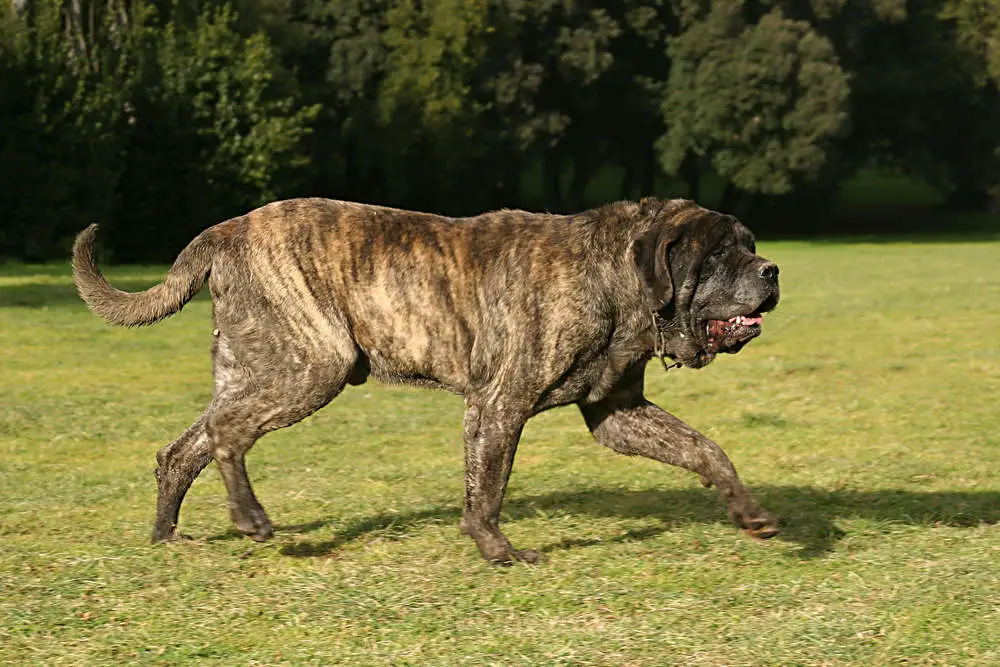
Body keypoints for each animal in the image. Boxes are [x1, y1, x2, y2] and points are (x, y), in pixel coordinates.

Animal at [74, 196, 784, 568]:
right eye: (718, 254)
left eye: (748, 244)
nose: (772, 269)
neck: (614, 276)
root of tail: (222, 231)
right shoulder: (501, 403)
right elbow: (489, 486)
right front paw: (498, 549)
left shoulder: (616, 411)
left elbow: (706, 448)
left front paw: (749, 514)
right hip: (313, 366)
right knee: (226, 434)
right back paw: (250, 518)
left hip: (257, 368)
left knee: (183, 448)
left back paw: (168, 535)